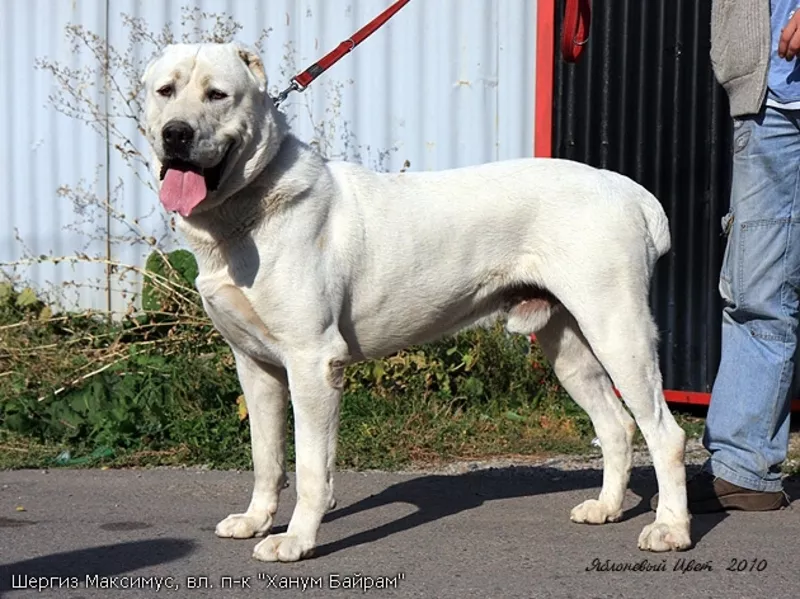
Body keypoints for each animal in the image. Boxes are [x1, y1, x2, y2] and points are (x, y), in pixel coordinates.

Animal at [141, 42, 692, 564]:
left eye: (218, 95)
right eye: (165, 90)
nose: (176, 134)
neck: (250, 208)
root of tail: (629, 191)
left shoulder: (313, 362)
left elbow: (312, 467)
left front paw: (296, 540)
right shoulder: (255, 366)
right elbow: (266, 457)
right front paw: (257, 520)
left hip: (617, 329)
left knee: (665, 433)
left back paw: (670, 529)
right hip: (567, 344)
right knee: (617, 424)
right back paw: (607, 508)